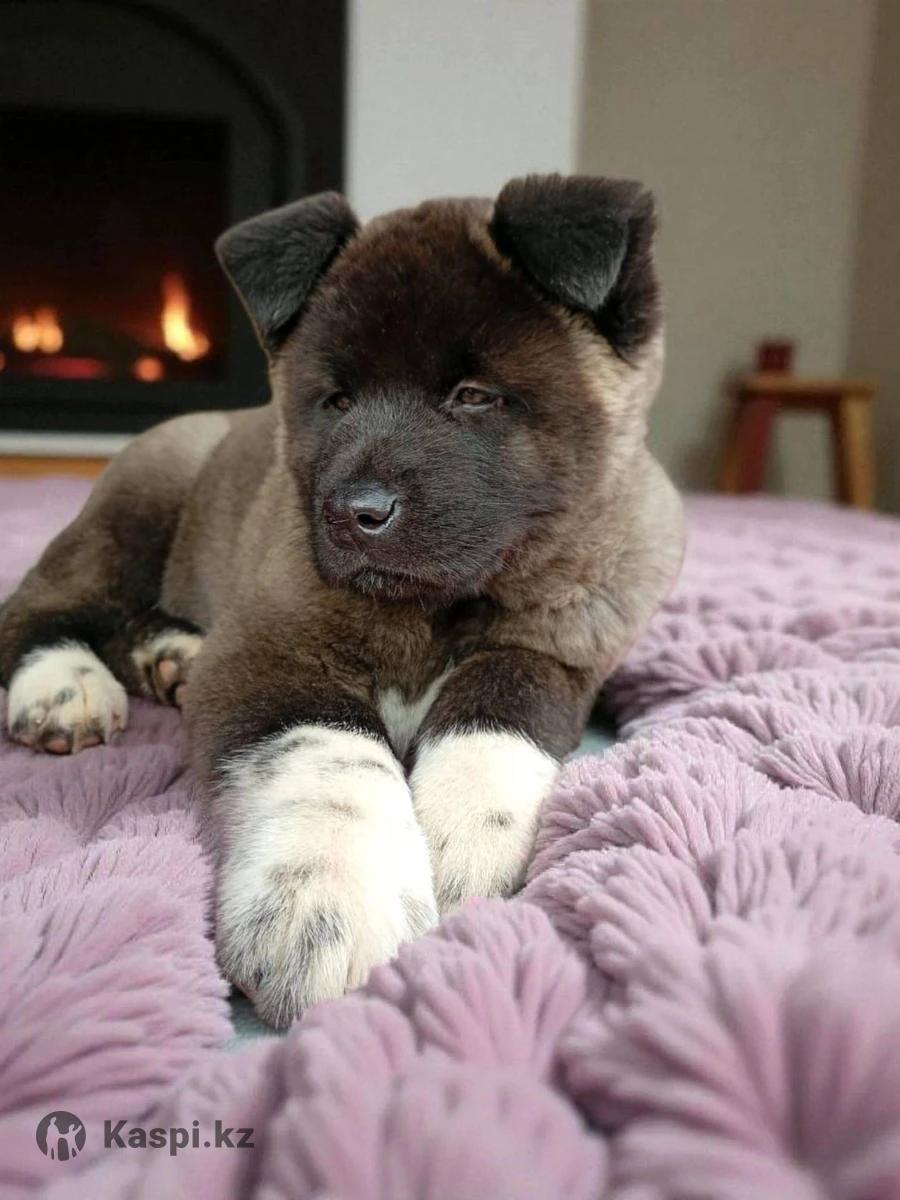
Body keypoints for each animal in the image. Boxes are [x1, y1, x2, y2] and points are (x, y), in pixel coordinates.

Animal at [0, 174, 684, 1028]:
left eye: (474, 395)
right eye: (335, 400)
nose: (356, 512)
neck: (441, 606)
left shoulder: (562, 654)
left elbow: (503, 696)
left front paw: (465, 829)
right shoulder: (267, 648)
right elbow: (327, 752)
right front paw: (328, 897)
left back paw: (169, 655)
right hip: (139, 504)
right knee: (46, 601)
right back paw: (63, 687)